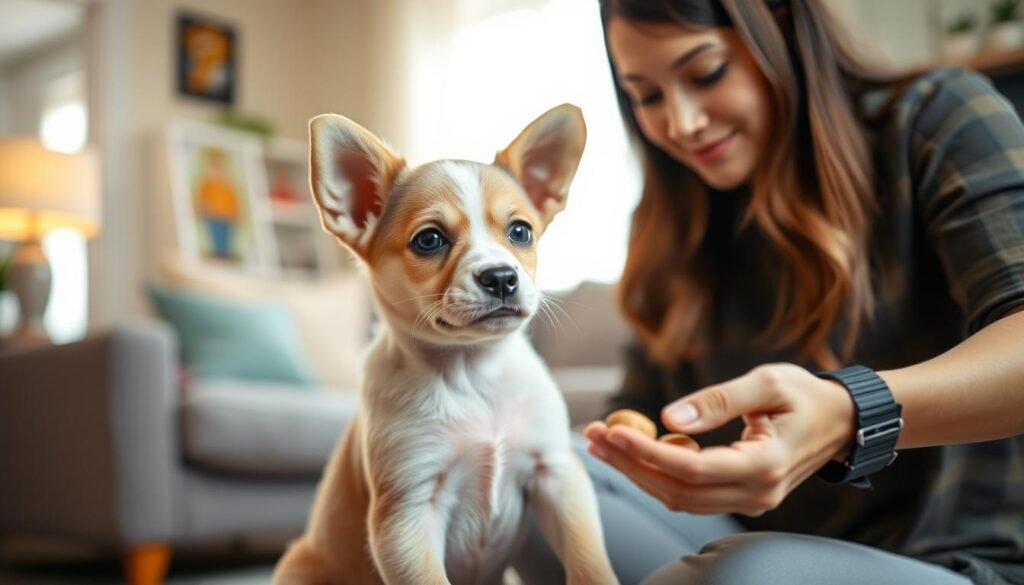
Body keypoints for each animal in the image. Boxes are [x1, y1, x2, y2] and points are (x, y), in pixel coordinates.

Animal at [272, 106, 614, 585]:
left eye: (521, 232)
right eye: (429, 240)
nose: (501, 277)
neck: (474, 373)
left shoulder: (558, 475)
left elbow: (590, 562)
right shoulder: (407, 514)